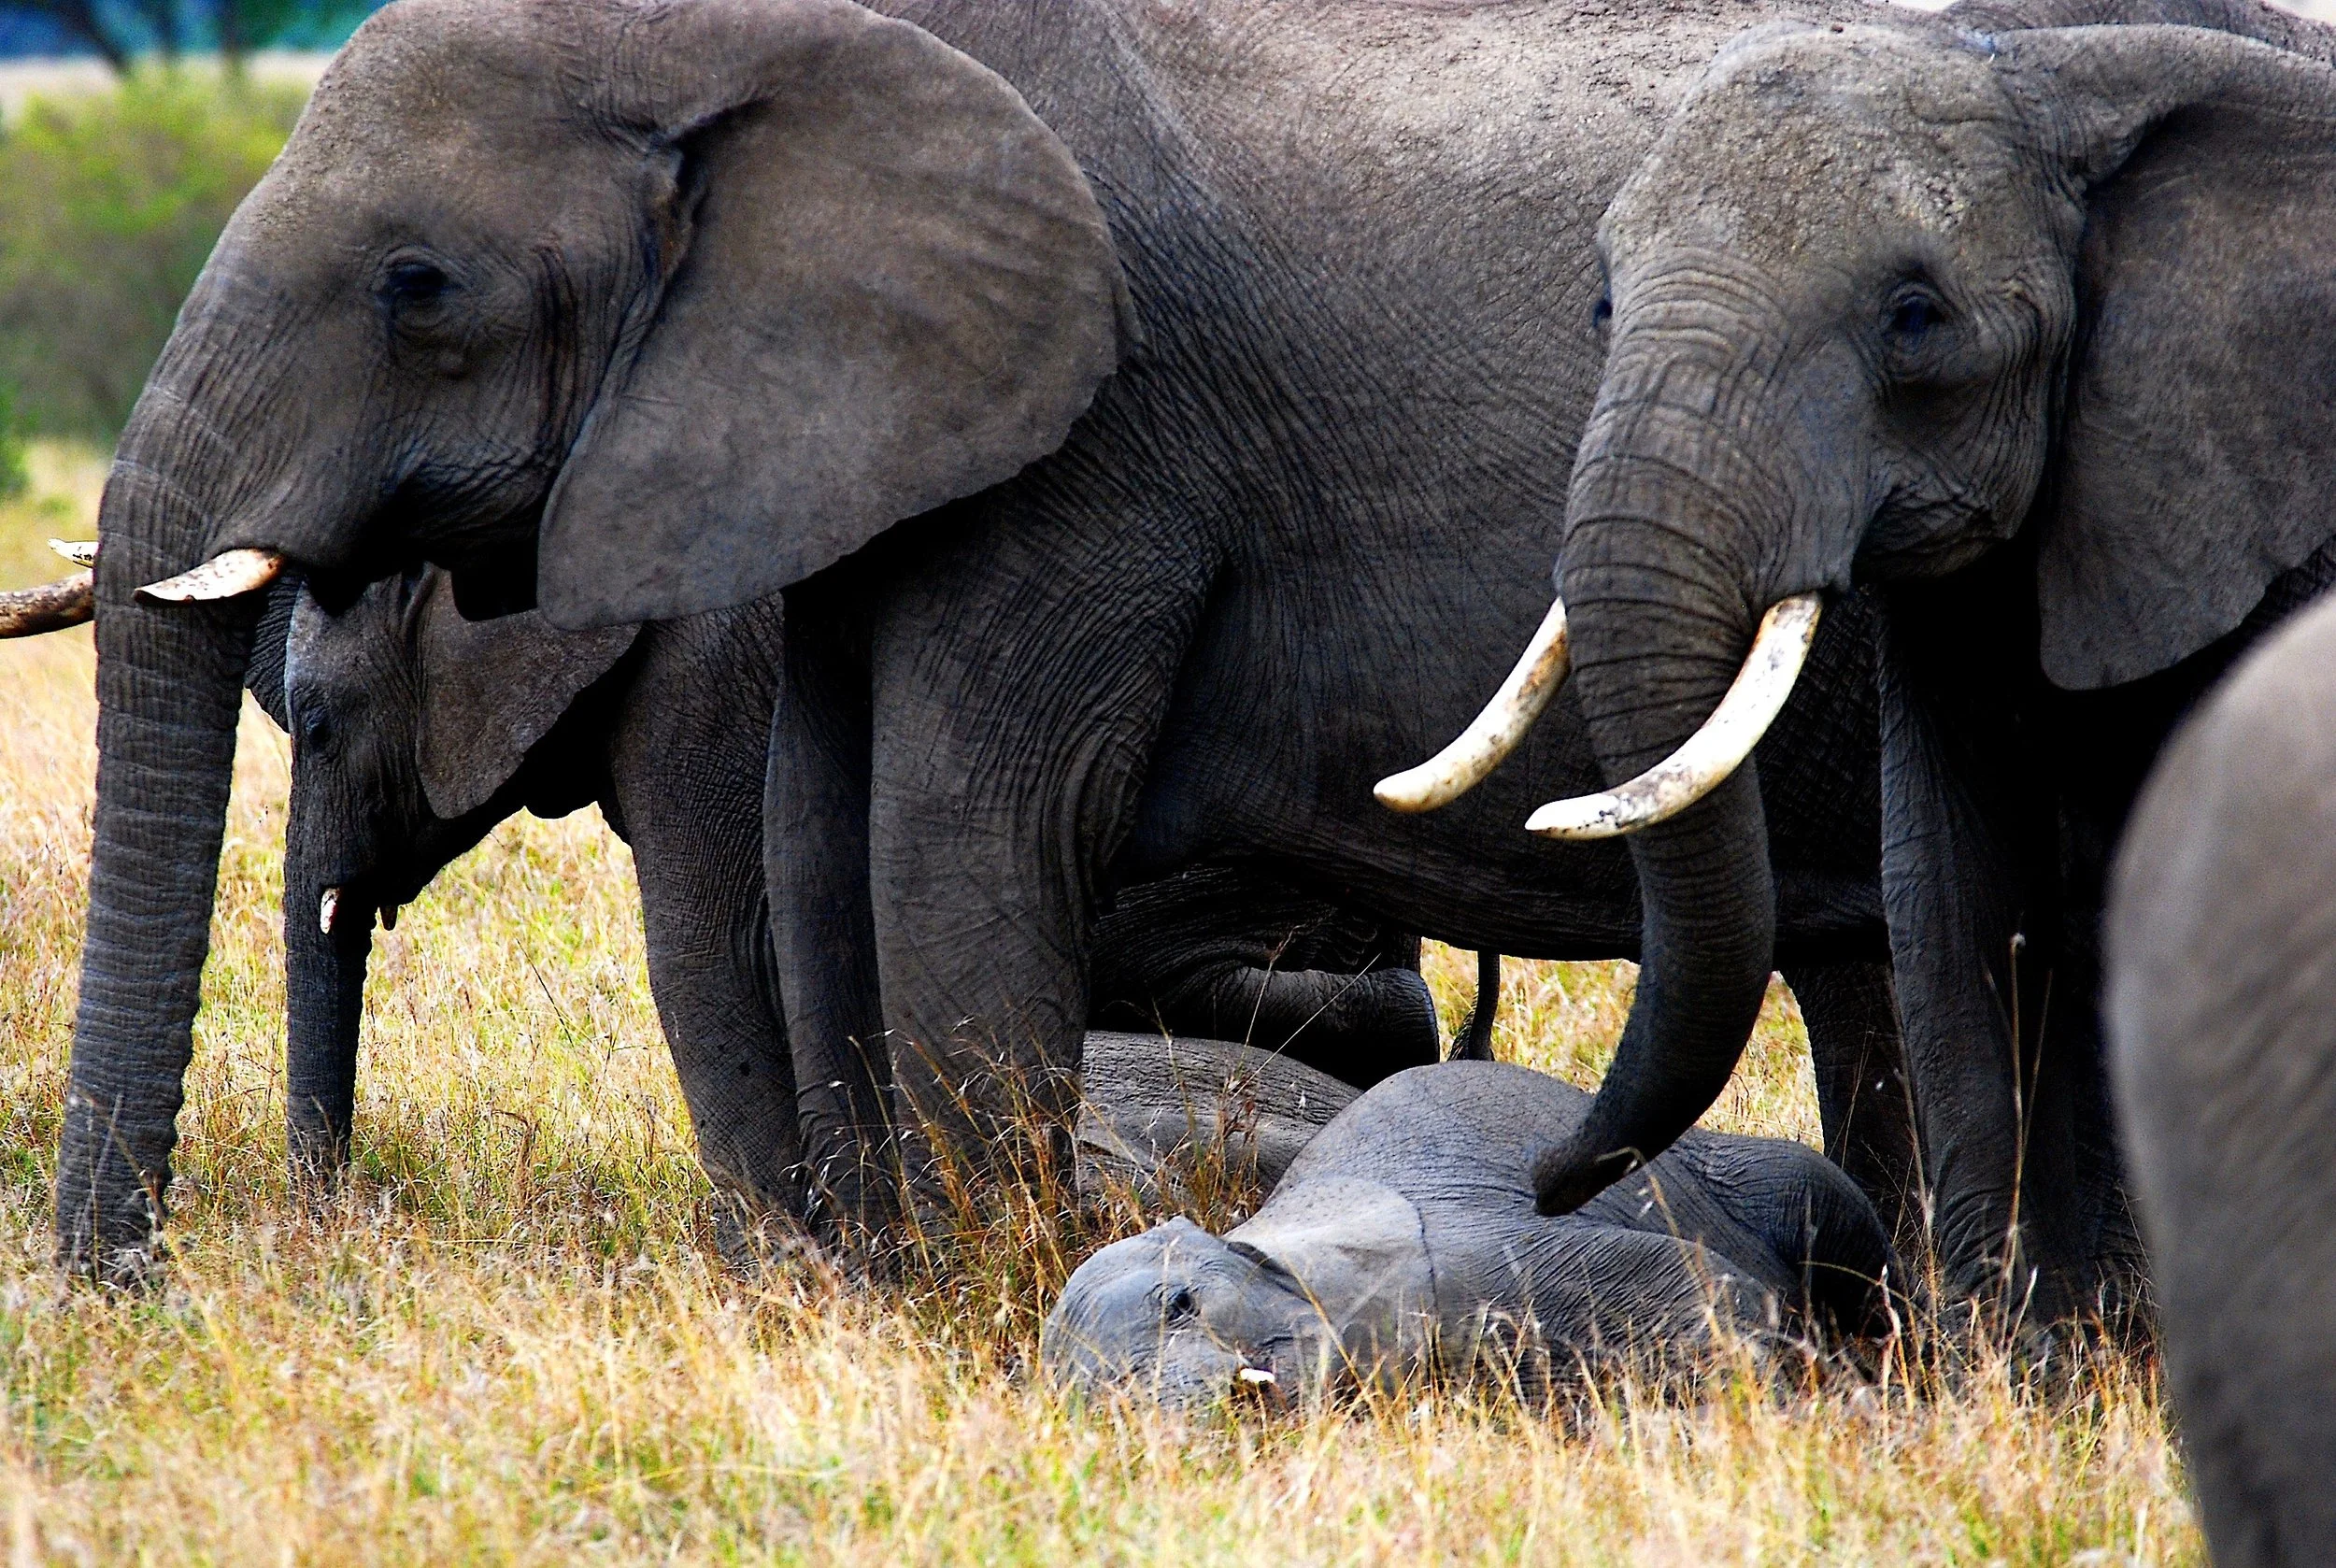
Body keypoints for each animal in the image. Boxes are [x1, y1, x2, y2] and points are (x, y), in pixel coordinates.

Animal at [1401, 0, 2336, 1320]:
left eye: (1913, 317)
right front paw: (2016, 1351)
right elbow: (1946, 891)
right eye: (1601, 305)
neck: (2059, 75)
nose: (1541, 1176)